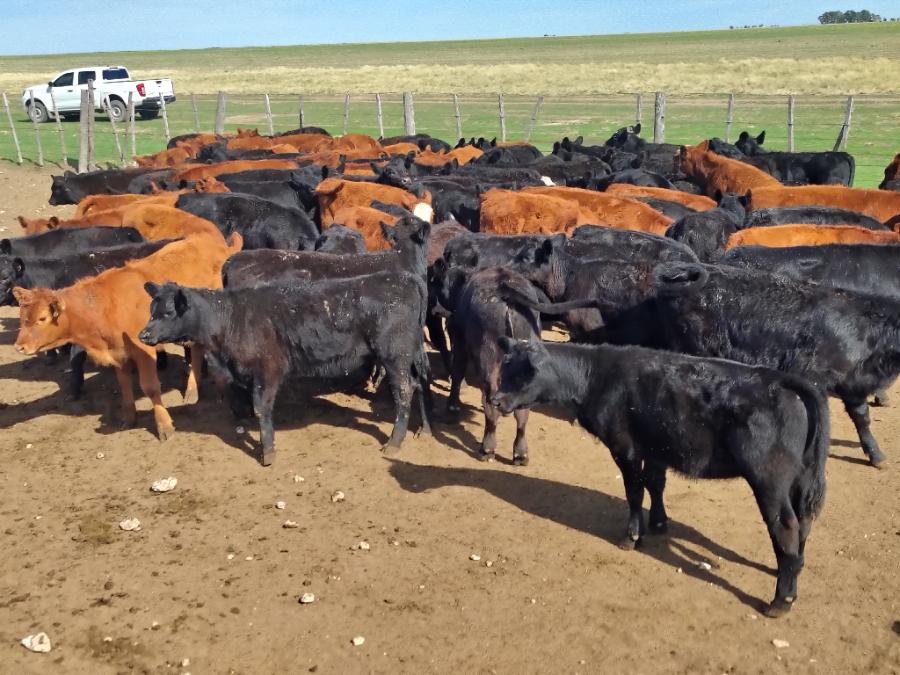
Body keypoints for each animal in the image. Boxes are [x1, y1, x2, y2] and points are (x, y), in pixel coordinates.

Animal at [13, 232, 242, 440]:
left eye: (42, 318)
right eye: (22, 317)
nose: (20, 347)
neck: (103, 306)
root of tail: (220, 246)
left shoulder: (144, 351)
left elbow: (150, 388)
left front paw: (164, 425)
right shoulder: (118, 354)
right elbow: (124, 386)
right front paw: (129, 417)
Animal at [139, 271, 432, 466]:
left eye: (167, 313)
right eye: (151, 309)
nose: (143, 335)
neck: (230, 318)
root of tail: (403, 278)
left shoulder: (268, 370)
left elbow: (261, 409)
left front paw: (267, 451)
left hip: (394, 356)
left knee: (404, 392)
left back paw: (394, 443)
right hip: (410, 356)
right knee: (419, 383)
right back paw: (424, 429)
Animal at [492, 337, 828, 618]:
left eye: (523, 374)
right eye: (503, 367)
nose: (495, 400)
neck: (597, 376)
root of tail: (783, 380)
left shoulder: (625, 447)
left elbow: (634, 491)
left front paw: (632, 537)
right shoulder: (655, 448)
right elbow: (655, 484)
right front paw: (657, 523)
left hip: (769, 480)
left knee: (786, 525)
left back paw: (781, 600)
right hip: (800, 481)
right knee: (804, 523)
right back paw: (791, 570)